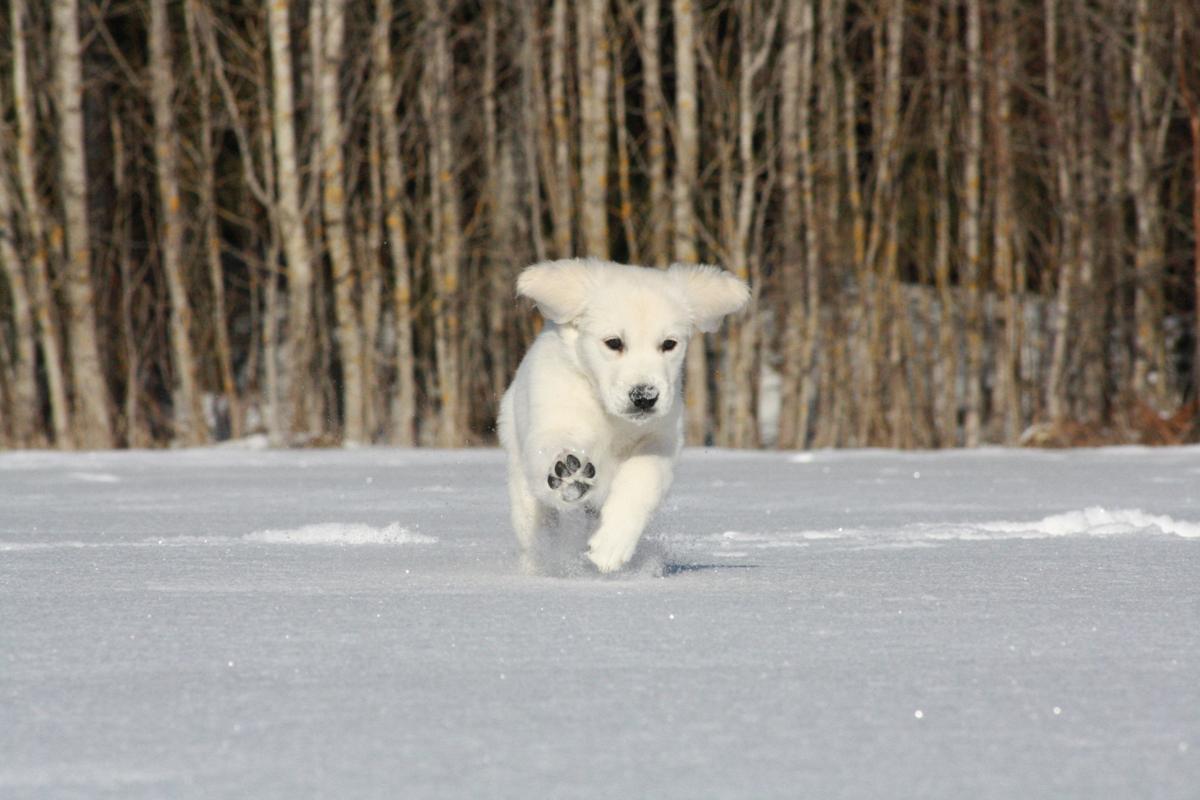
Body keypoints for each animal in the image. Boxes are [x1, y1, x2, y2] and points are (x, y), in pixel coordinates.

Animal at [499, 260, 748, 573]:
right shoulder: (554, 417)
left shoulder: (661, 439)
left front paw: (611, 545)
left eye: (669, 344)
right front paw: (568, 474)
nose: (645, 396)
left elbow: (641, 479)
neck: (608, 413)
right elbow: (555, 445)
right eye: (614, 343)